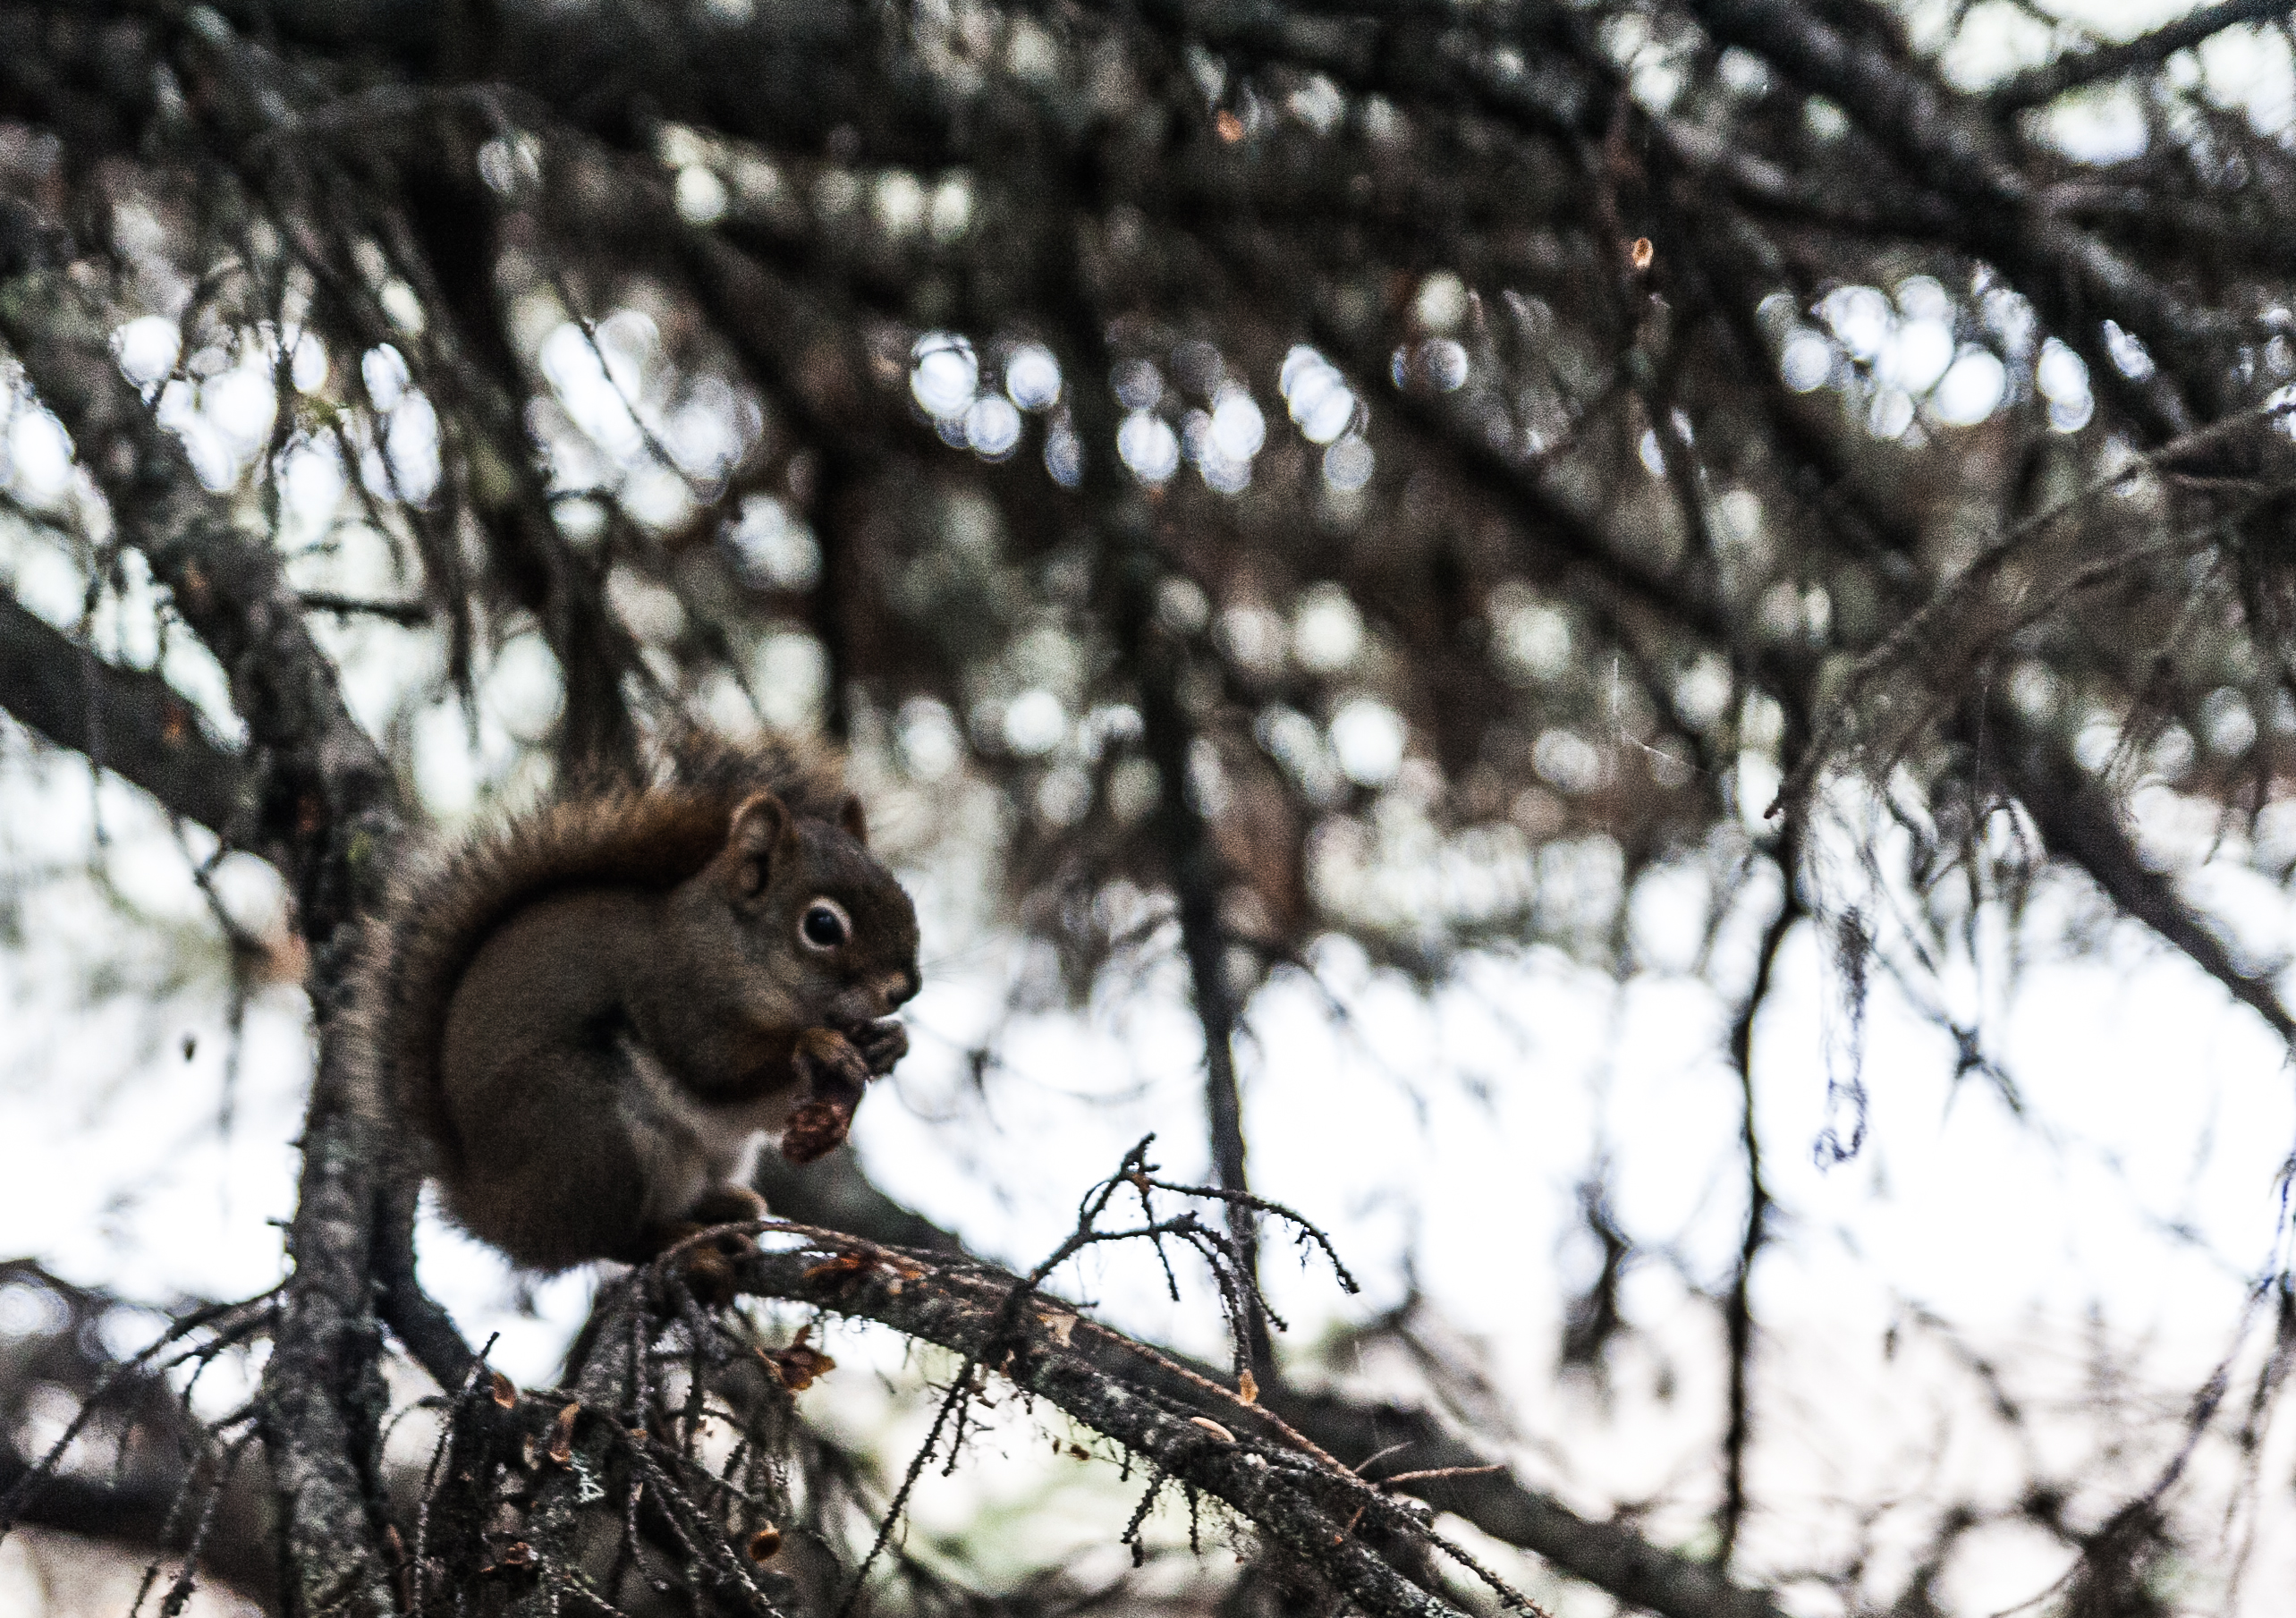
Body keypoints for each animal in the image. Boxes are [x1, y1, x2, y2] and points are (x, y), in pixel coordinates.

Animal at [353, 734, 921, 1272]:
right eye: (821, 925)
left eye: (904, 895)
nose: (905, 989)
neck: (745, 957)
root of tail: (497, 1212)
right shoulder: (673, 991)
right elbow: (714, 1065)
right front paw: (817, 1043)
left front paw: (890, 1042)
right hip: (588, 1130)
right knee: (606, 1240)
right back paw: (682, 1244)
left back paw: (725, 1210)